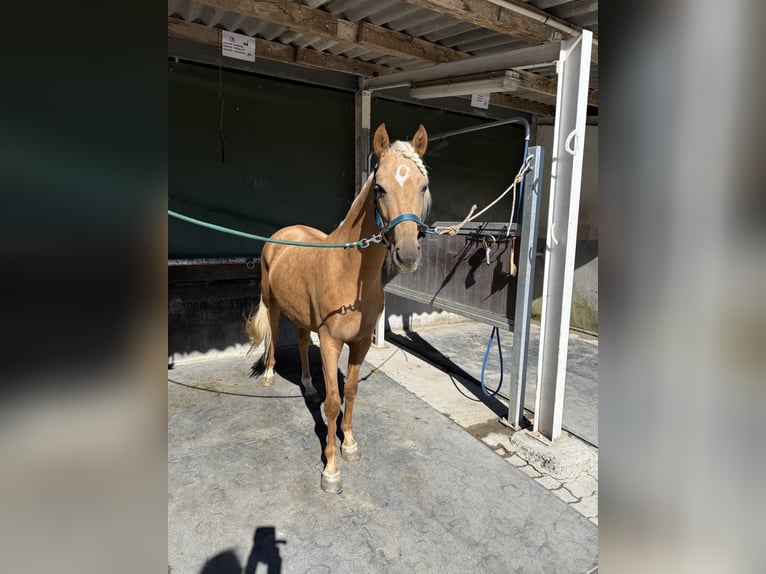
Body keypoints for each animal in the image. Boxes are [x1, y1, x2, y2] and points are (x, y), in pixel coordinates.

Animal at [245, 123, 431, 493]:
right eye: (380, 188)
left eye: (423, 185)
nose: (406, 255)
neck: (348, 274)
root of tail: (281, 235)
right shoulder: (331, 342)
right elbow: (333, 403)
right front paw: (330, 469)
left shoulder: (359, 344)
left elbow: (351, 392)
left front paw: (350, 445)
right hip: (273, 305)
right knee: (273, 336)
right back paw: (270, 374)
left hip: (303, 315)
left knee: (303, 343)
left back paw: (307, 385)